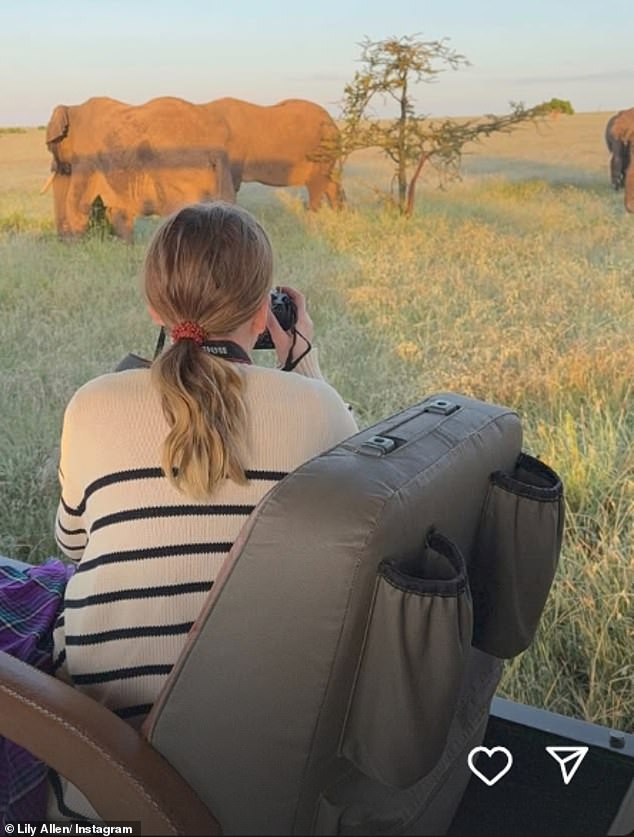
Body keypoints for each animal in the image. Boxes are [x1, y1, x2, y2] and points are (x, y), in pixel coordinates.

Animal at [43, 99, 235, 242]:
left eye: (51, 147)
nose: (62, 243)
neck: (73, 108)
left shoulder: (86, 155)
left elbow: (78, 203)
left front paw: (76, 245)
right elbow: (117, 208)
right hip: (222, 170)